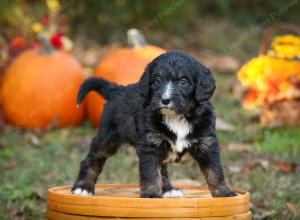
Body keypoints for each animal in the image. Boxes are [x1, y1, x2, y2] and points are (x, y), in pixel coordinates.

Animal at [72, 51, 237, 198]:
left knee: (162, 169)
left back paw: (168, 190)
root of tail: (118, 90)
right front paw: (151, 194)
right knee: (92, 159)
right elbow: (151, 173)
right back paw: (83, 187)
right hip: (108, 137)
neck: (176, 117)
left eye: (183, 82)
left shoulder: (207, 144)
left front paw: (224, 193)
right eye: (157, 79)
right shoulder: (150, 146)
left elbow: (215, 171)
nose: (165, 100)